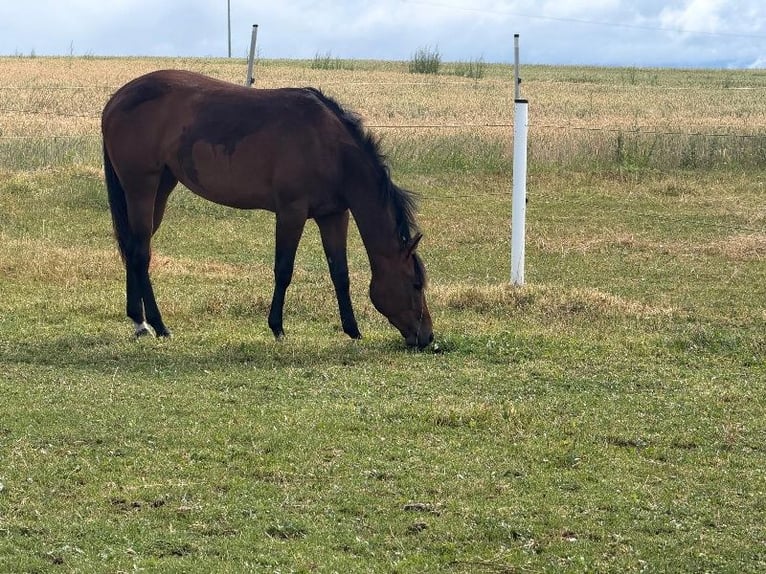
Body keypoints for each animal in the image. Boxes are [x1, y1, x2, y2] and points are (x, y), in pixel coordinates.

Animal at [101, 69, 433, 349]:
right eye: (416, 284)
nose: (427, 338)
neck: (329, 148)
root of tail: (116, 101)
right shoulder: (291, 213)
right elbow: (283, 270)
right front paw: (277, 327)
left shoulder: (333, 216)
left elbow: (340, 273)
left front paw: (352, 329)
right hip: (141, 188)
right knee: (141, 254)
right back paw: (157, 324)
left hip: (160, 188)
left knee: (133, 248)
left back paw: (139, 321)